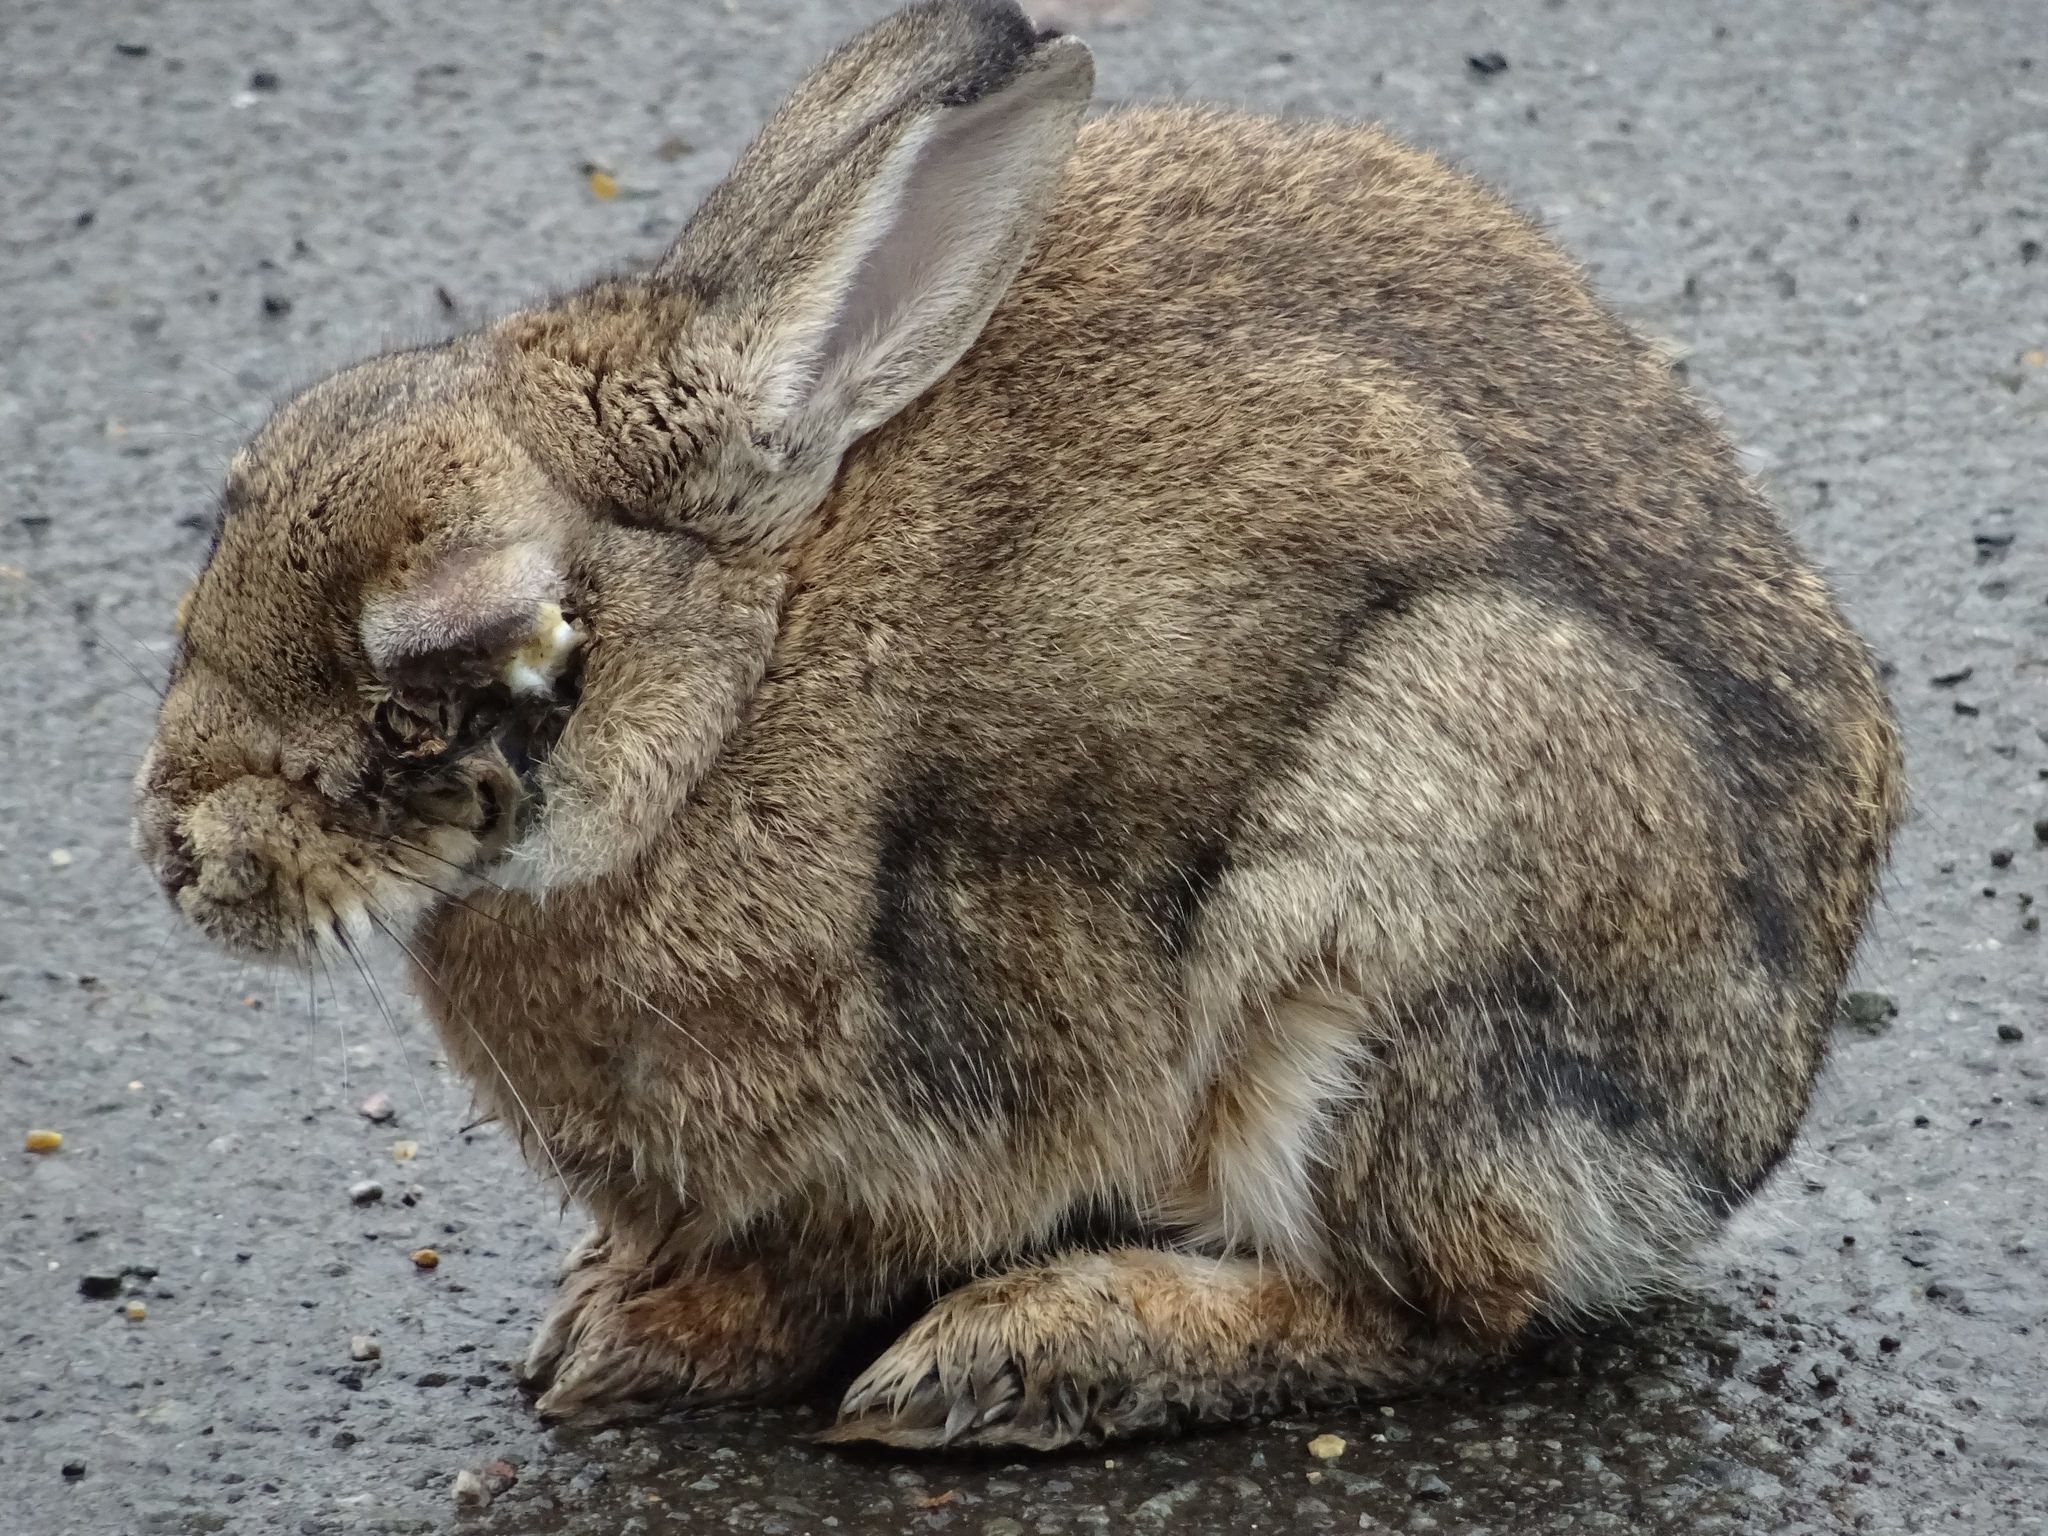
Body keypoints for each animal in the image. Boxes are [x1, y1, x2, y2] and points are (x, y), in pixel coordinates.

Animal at [132, 0, 1900, 1449]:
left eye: (462, 660)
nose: (180, 855)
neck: (741, 677)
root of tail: (1737, 1122)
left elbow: (829, 1258)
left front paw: (645, 1344)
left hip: (1419, 883)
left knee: (1447, 1308)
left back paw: (1036, 1353)